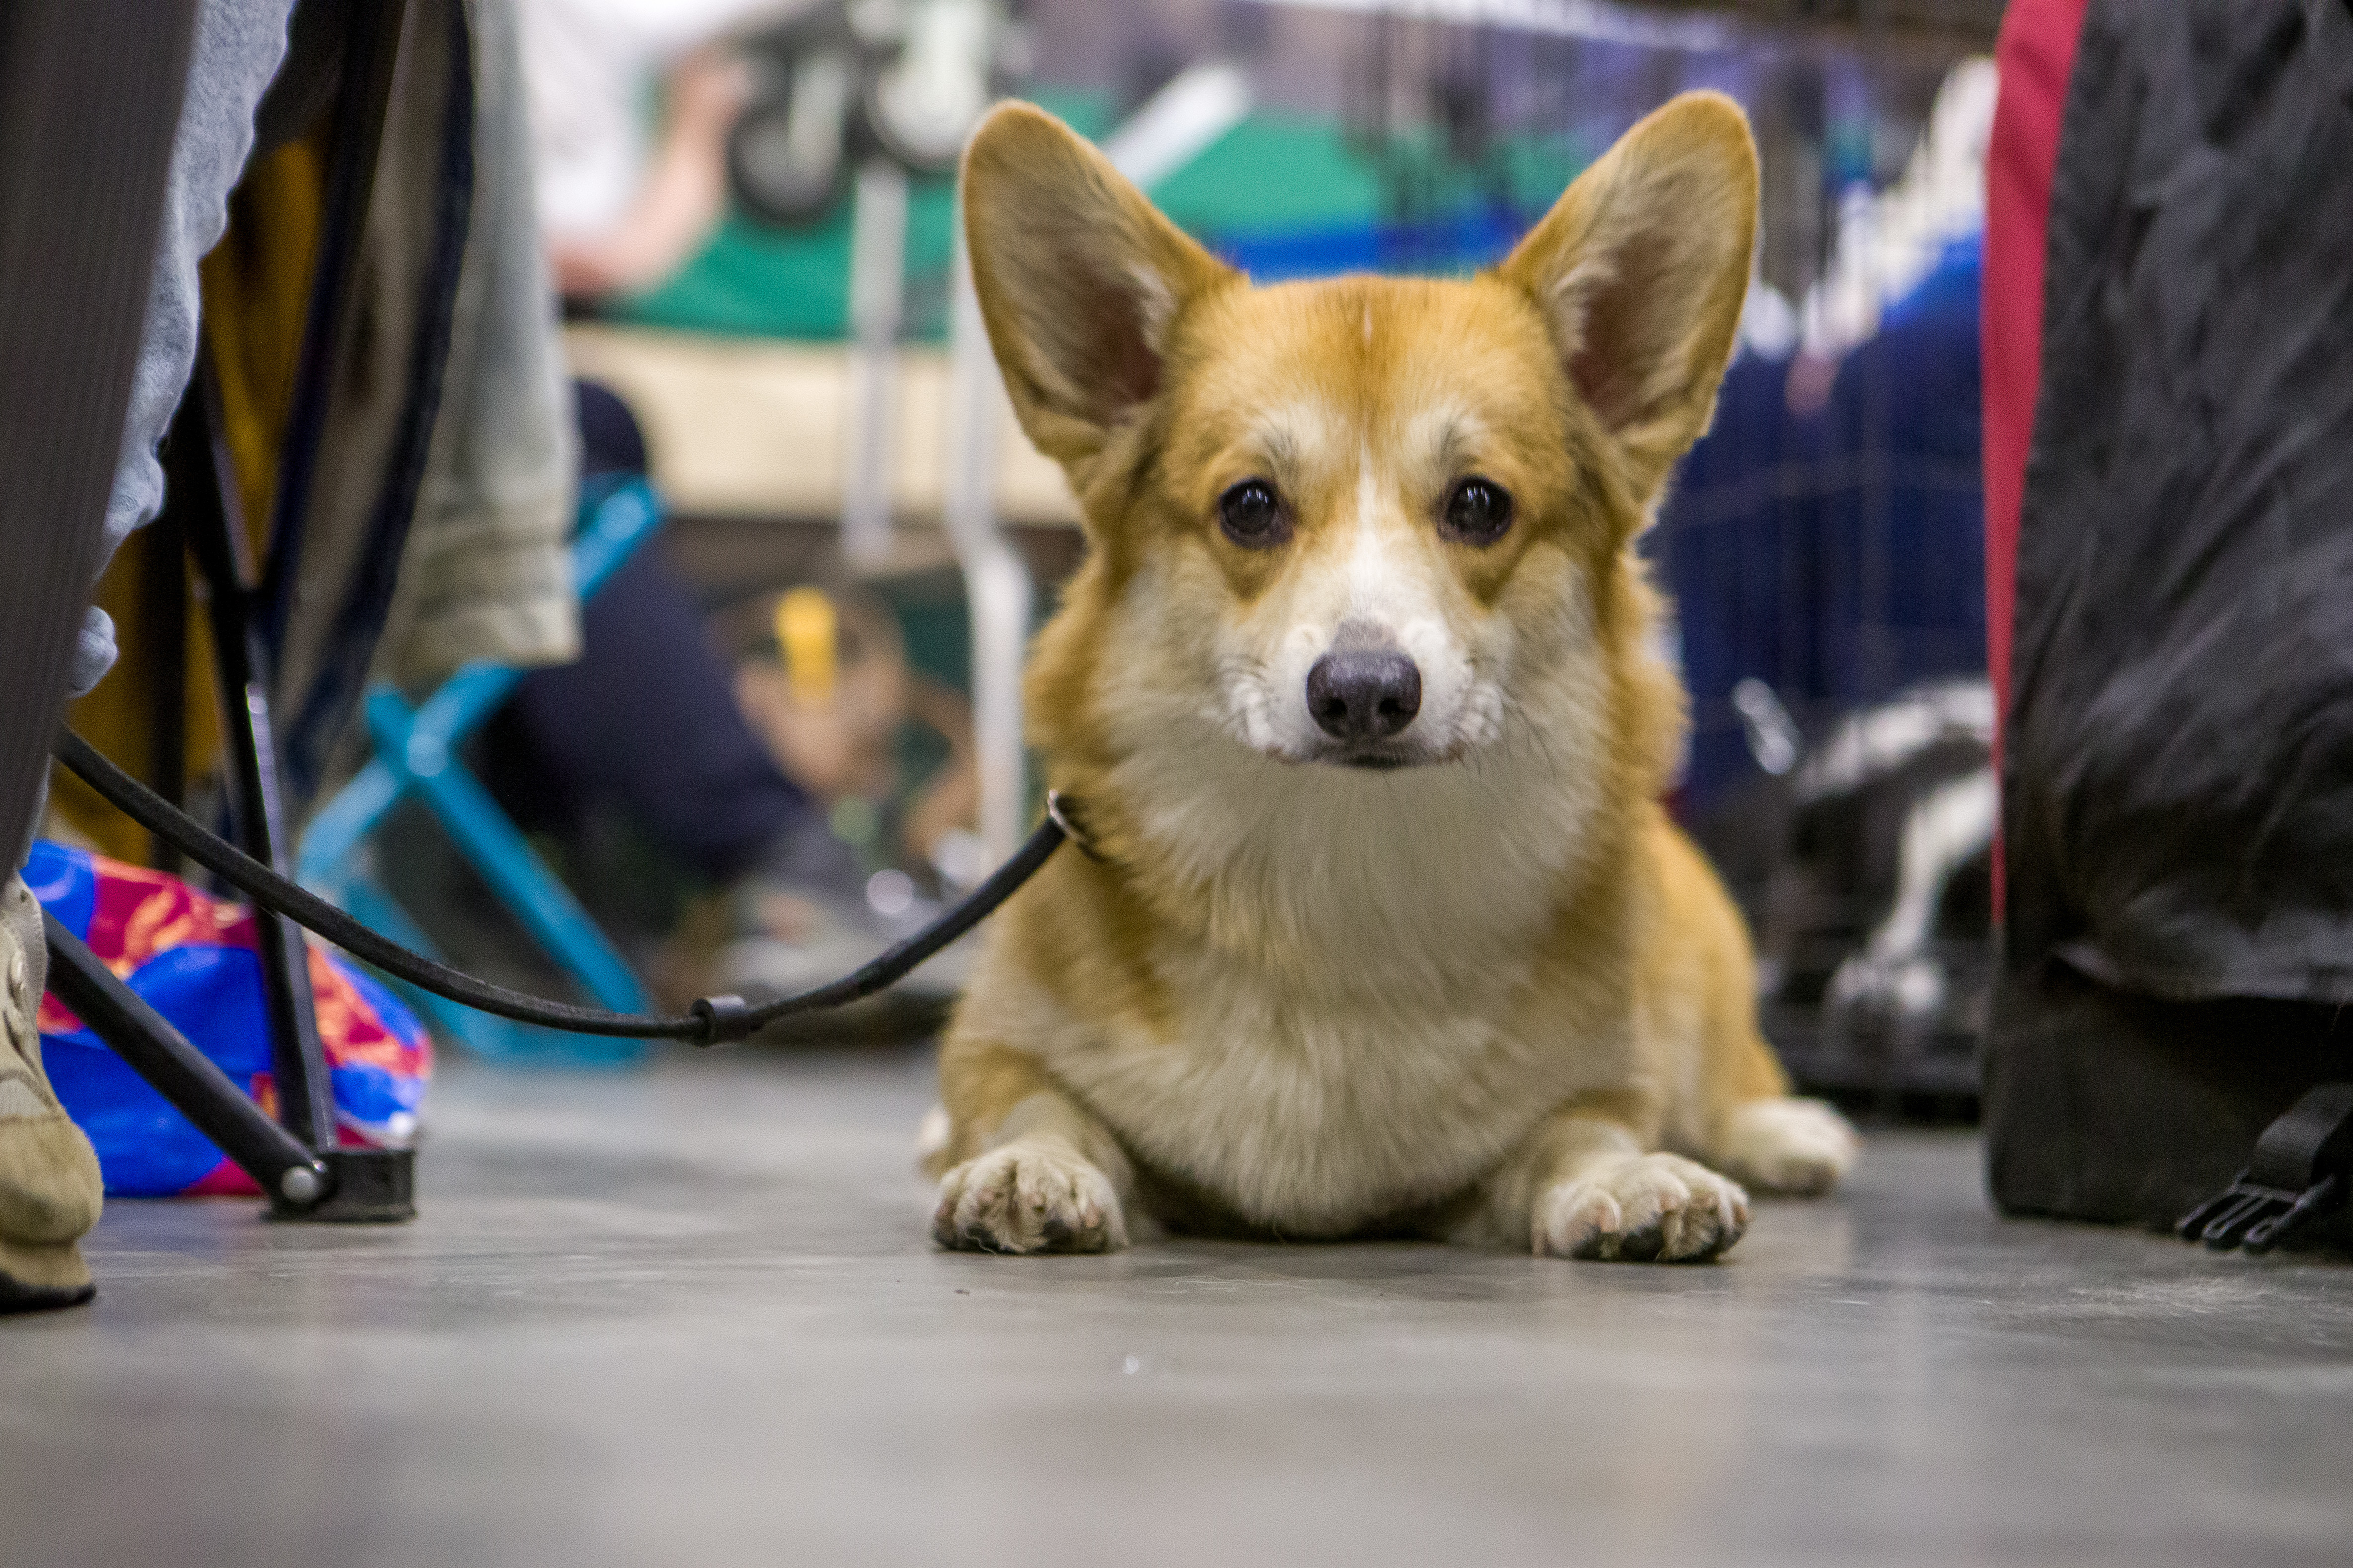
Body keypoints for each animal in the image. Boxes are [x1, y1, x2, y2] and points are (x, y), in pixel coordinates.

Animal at [927, 88, 1863, 1260]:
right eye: (1249, 505)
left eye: (1478, 505)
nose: (1364, 691)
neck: (1341, 871)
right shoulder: (996, 1044)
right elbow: (1032, 1099)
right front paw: (1026, 1167)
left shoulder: (1595, 1085)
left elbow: (1584, 1130)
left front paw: (1635, 1179)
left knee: (1724, 1078)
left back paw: (1784, 1129)